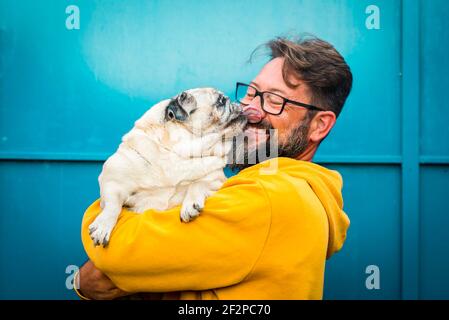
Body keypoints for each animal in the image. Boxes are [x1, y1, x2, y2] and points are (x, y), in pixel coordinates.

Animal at [87, 89, 245, 246]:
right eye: (221, 101)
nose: (238, 104)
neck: (177, 152)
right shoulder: (112, 180)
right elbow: (113, 205)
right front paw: (103, 226)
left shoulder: (216, 181)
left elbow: (198, 184)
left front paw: (190, 204)